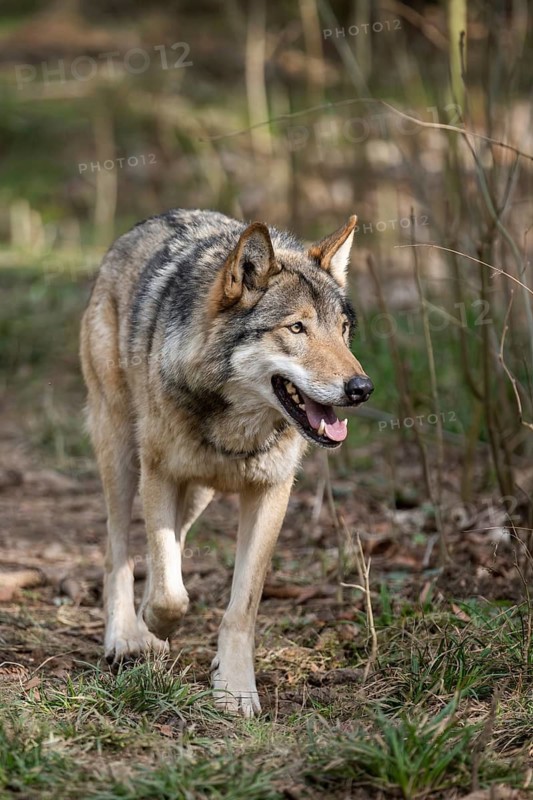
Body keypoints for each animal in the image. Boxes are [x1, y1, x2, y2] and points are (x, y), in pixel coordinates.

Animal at [80, 209, 373, 717]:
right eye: (297, 329)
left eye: (342, 329)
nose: (361, 388)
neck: (237, 427)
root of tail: (150, 221)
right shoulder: (159, 474)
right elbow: (170, 595)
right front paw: (156, 624)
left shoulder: (271, 494)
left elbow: (241, 605)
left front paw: (234, 688)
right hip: (120, 454)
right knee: (118, 550)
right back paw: (127, 635)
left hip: (198, 492)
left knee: (171, 544)